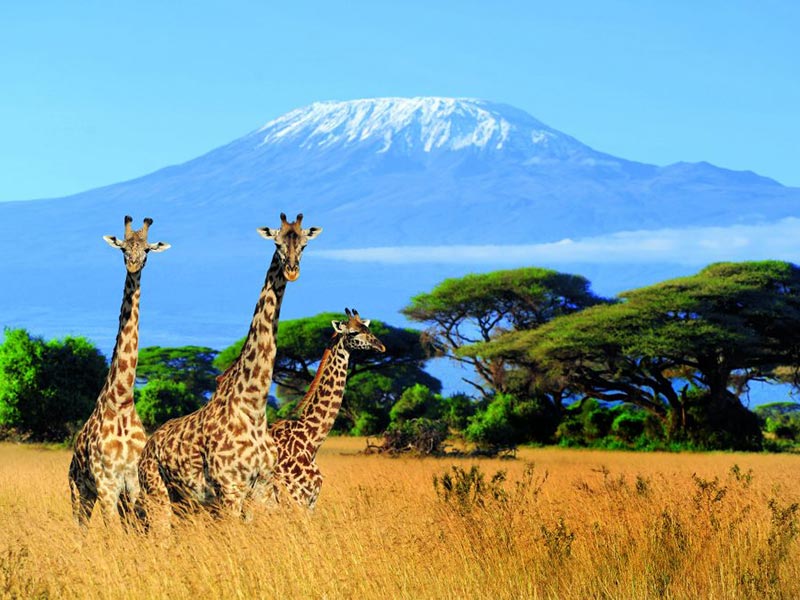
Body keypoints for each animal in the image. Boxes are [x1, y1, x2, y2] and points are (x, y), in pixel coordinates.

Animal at [67, 217, 172, 528]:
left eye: (147, 250)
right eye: (124, 248)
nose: (134, 265)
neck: (122, 399)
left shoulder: (133, 483)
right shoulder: (106, 484)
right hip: (79, 490)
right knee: (80, 527)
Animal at [138, 213, 322, 528]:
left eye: (304, 245)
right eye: (277, 243)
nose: (292, 271)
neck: (253, 406)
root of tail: (146, 450)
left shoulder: (262, 487)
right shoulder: (230, 488)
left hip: (184, 502)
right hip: (157, 493)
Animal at [268, 308, 386, 508]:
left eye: (368, 329)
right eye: (353, 332)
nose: (381, 346)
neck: (311, 441)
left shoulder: (310, 501)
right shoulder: (296, 498)